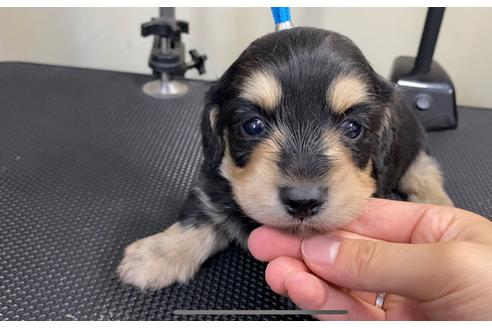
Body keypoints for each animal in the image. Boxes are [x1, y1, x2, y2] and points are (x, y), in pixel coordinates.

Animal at [116, 28, 454, 290]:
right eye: (252, 125)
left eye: (353, 128)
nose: (303, 201)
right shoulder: (214, 182)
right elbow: (199, 216)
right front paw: (154, 255)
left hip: (416, 149)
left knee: (425, 170)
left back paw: (438, 203)